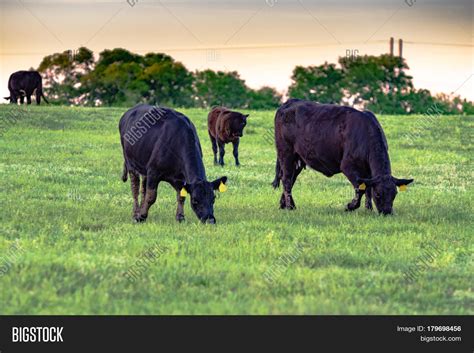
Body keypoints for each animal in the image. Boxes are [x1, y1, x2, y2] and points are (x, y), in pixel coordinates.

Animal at [272, 98, 412, 214]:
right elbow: (361, 189)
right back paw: (290, 207)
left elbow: (367, 188)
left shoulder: (368, 172)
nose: (387, 212)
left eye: (394, 194)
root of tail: (290, 101)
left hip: (298, 158)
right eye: (378, 194)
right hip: (286, 152)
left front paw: (368, 209)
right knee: (286, 179)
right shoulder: (348, 166)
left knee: (291, 178)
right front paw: (350, 206)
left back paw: (284, 205)